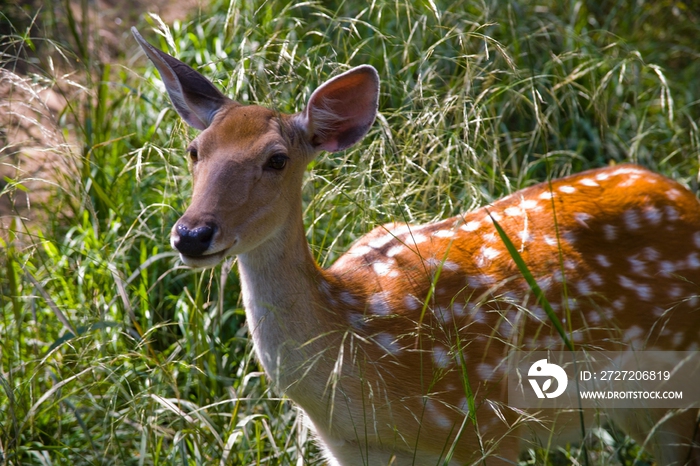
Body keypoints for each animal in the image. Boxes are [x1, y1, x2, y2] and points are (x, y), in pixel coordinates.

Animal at [133, 27, 700, 464]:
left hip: (678, 381)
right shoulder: (346, 450)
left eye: (277, 159)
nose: (192, 234)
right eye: (195, 150)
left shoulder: (488, 427)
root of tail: (682, 193)